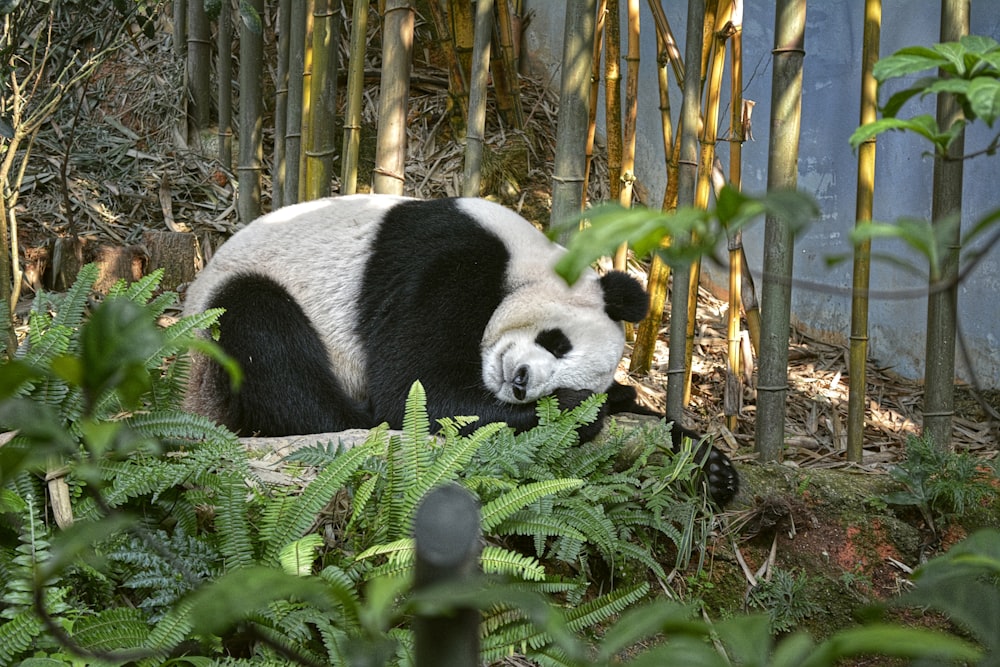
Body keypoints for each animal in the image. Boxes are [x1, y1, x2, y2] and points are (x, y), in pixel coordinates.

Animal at [184, 196, 740, 504]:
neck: (528, 261)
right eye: (556, 342)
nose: (522, 383)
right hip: (226, 320)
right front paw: (583, 410)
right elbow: (417, 392)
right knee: (265, 339)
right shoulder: (448, 263)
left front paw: (711, 466)